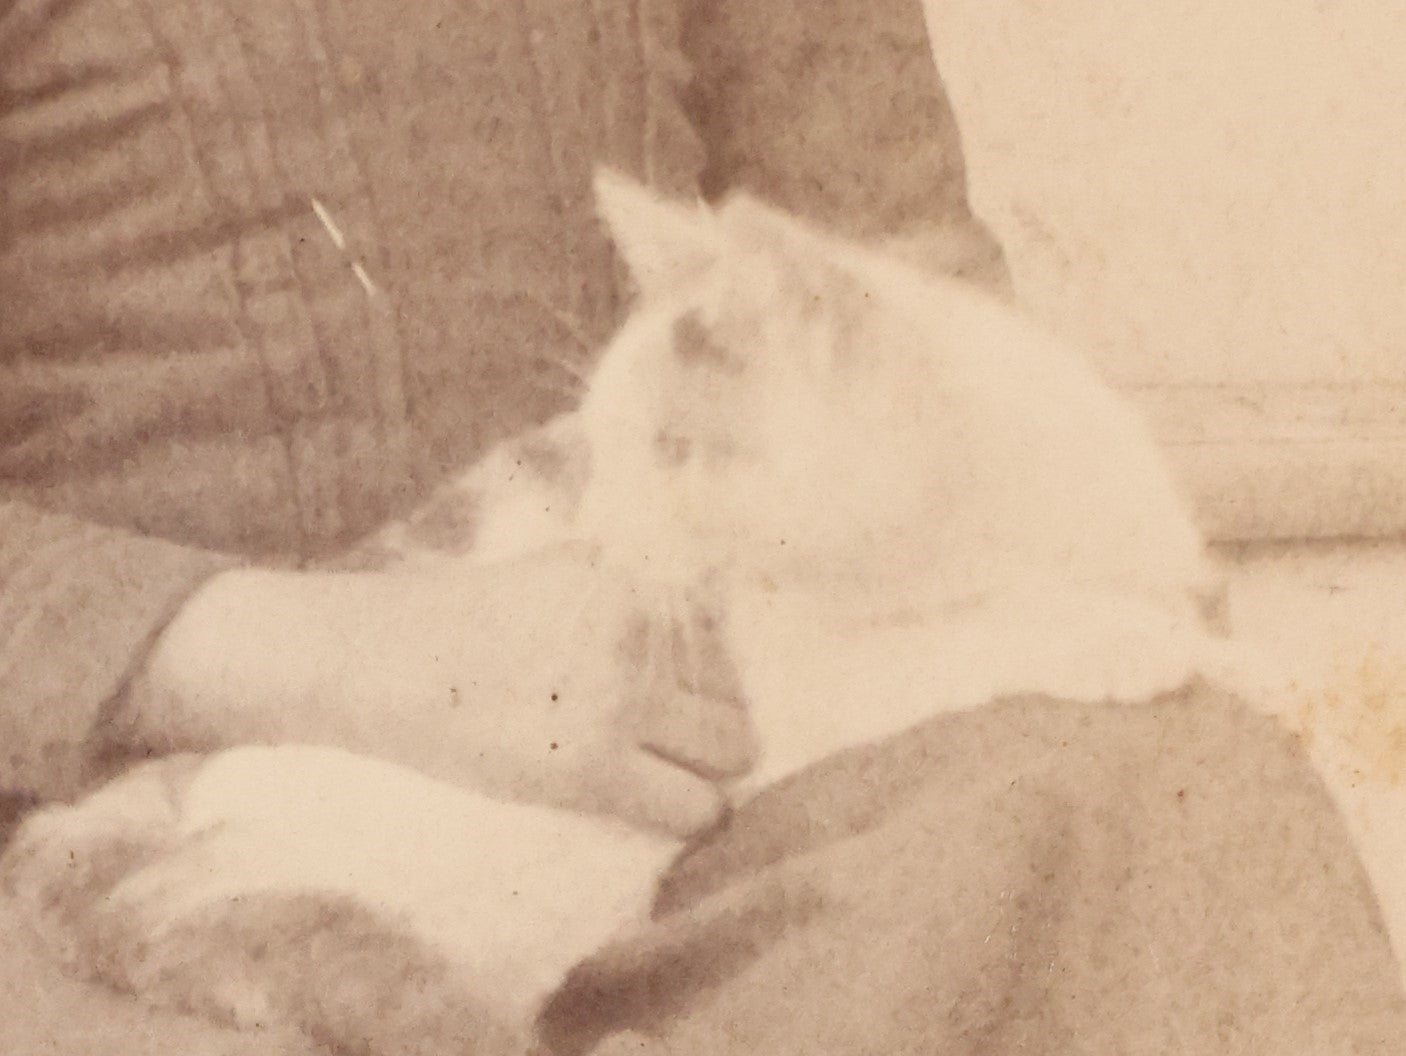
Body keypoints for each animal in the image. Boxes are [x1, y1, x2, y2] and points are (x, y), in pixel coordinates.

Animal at [0, 169, 1231, 1051]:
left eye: (674, 449)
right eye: (602, 440)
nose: (600, 527)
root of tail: (114, 813)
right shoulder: (769, 690)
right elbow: (946, 643)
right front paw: (1115, 636)